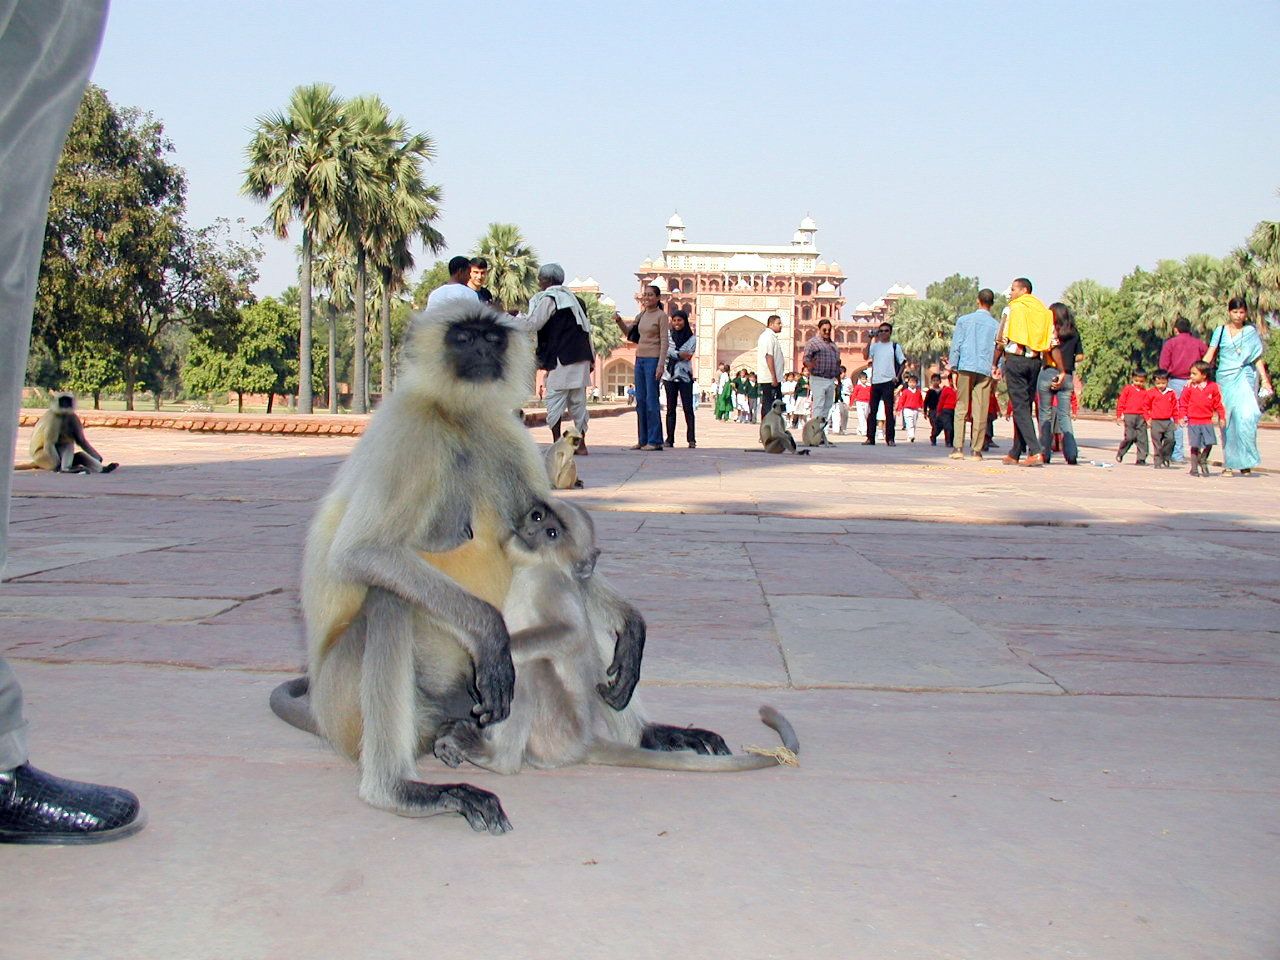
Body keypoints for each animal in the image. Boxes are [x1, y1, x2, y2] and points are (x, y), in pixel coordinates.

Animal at [273, 299, 731, 832]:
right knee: (387, 597)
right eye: (462, 337)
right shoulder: (406, 430)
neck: (458, 418)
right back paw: (402, 790)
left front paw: (631, 627)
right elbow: (361, 552)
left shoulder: (502, 435)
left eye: (491, 338)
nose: (481, 353)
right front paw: (492, 636)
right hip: (353, 703)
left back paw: (647, 736)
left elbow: (569, 558)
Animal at [431, 498, 799, 774]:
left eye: (551, 533)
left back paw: (497, 758)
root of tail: (585, 741)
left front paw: (481, 667)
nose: (530, 532)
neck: (532, 569)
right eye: (537, 517)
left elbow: (569, 634)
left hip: (556, 732)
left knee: (530, 668)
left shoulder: (552, 586)